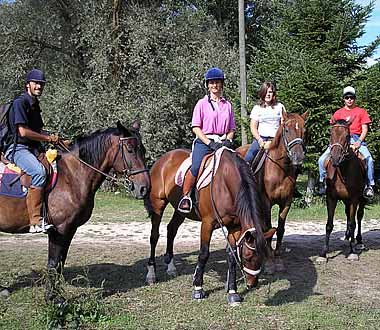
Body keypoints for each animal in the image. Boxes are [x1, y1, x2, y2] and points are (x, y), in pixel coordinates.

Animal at [0, 121, 151, 302]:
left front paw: (57, 296)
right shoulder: (59, 230)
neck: (71, 176)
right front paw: (52, 299)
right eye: (129, 149)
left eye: (143, 150)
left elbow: (60, 263)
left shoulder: (69, 230)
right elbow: (53, 263)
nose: (144, 188)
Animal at [146, 148, 276, 306]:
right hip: (158, 205)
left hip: (180, 211)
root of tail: (164, 158)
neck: (225, 183)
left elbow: (231, 255)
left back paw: (171, 267)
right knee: (154, 236)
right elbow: (204, 254)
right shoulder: (207, 224)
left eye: (263, 257)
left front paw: (233, 292)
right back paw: (151, 274)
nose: (252, 284)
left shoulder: (234, 227)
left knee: (171, 230)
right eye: (248, 256)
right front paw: (198, 288)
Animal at [238, 112, 308, 272]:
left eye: (304, 131)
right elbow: (269, 228)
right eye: (286, 130)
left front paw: (278, 258)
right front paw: (269, 262)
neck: (280, 169)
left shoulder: (286, 202)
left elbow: (280, 229)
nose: (298, 156)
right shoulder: (266, 202)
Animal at [318, 120, 368, 262]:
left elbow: (352, 223)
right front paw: (323, 254)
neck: (342, 170)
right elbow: (329, 225)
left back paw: (359, 241)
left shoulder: (354, 199)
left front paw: (352, 252)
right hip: (345, 200)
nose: (335, 158)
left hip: (361, 199)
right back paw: (347, 236)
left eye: (347, 136)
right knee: (347, 214)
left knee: (359, 216)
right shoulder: (331, 198)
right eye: (331, 134)